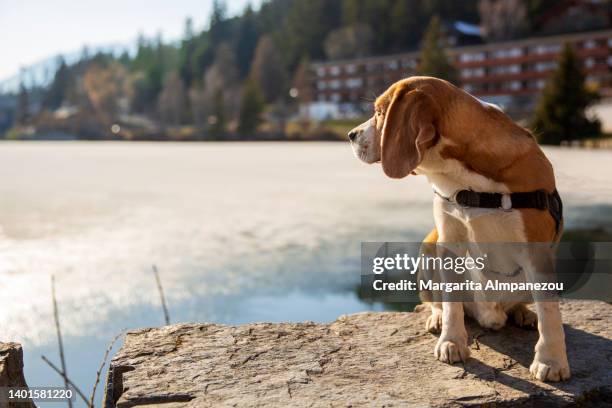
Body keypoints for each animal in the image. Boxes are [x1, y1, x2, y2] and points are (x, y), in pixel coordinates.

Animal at [352, 76, 572, 382]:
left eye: (380, 112)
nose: (351, 134)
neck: (467, 178)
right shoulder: (448, 241)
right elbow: (452, 304)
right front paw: (452, 341)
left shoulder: (537, 252)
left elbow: (550, 312)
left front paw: (551, 360)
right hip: (428, 247)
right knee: (437, 301)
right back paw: (437, 316)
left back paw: (523, 313)